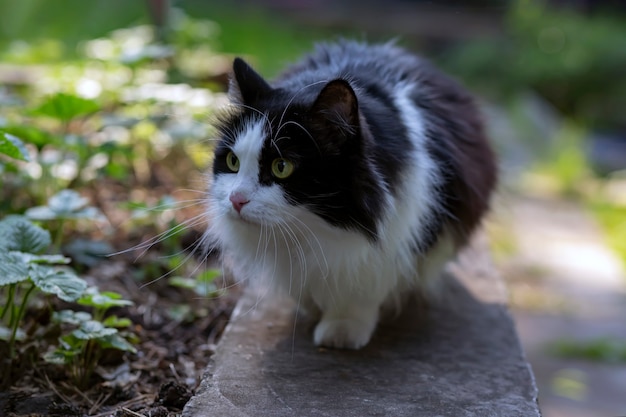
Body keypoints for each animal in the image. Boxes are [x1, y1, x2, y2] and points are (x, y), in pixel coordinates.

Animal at [207, 41, 494, 348]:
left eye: (281, 167)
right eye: (233, 162)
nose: (236, 199)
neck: (317, 230)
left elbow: (362, 291)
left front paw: (342, 330)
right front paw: (311, 306)